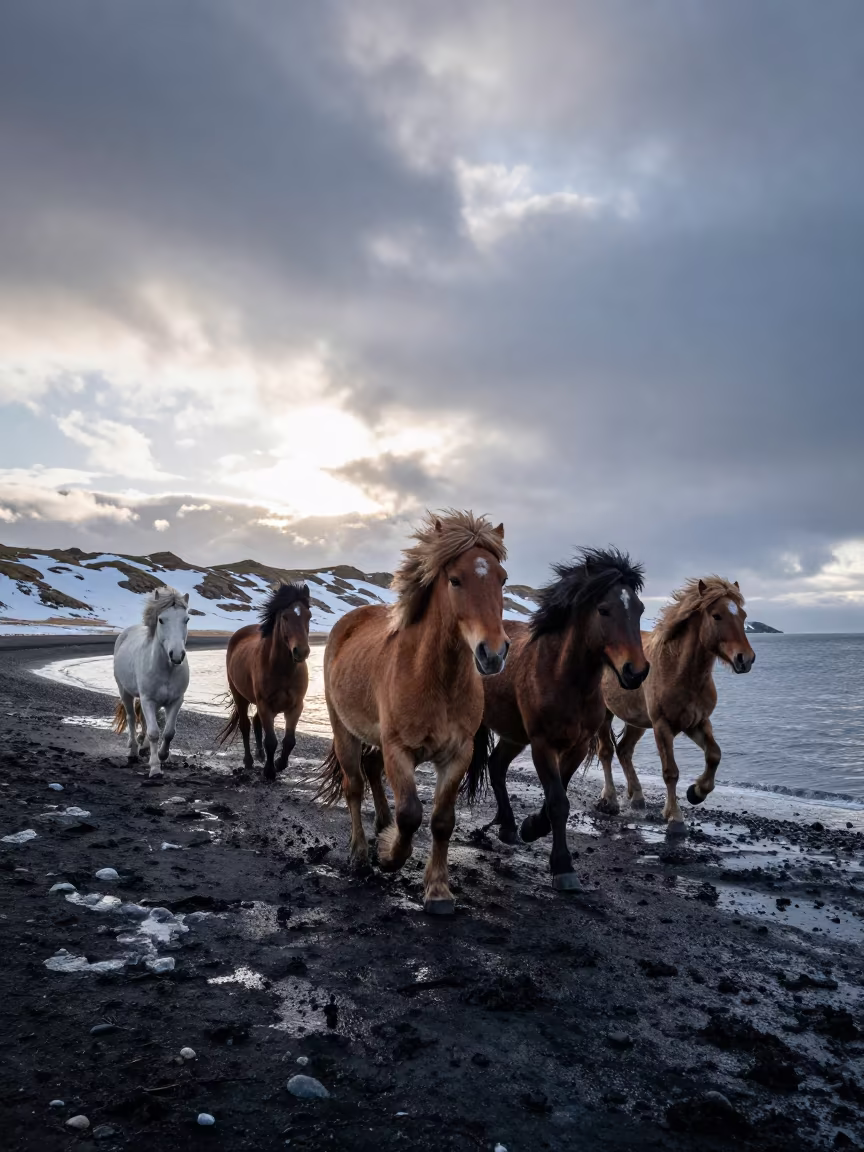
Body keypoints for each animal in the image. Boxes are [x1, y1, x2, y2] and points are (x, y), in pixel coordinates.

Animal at [112, 586, 190, 778]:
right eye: (161, 620)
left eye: (186, 619)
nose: (177, 655)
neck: (167, 669)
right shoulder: (147, 699)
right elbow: (155, 732)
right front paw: (155, 767)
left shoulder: (176, 701)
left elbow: (169, 732)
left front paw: (162, 755)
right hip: (124, 691)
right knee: (132, 718)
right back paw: (133, 751)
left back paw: (144, 746)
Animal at [218, 582, 311, 781]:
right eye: (285, 617)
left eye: (309, 616)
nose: (301, 651)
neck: (282, 670)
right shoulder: (265, 704)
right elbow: (271, 741)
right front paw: (269, 771)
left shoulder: (295, 706)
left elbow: (289, 740)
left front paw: (279, 763)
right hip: (240, 697)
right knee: (245, 725)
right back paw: (249, 761)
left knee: (255, 721)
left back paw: (260, 755)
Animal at [316, 509, 509, 916]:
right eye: (455, 579)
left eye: (502, 579)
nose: (494, 653)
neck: (437, 679)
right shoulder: (399, 751)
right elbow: (410, 814)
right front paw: (389, 856)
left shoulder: (458, 753)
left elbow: (441, 820)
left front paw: (438, 890)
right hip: (344, 732)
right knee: (354, 786)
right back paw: (361, 855)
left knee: (372, 773)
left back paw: (380, 826)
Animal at [464, 548, 649, 890]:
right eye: (604, 609)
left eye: (640, 609)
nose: (636, 671)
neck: (564, 677)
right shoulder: (543, 744)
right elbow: (558, 802)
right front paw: (563, 866)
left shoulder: (577, 745)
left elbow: (557, 796)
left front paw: (531, 827)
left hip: (513, 734)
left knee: (496, 766)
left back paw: (508, 827)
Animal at [596, 576, 755, 835]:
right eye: (717, 616)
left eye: (743, 616)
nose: (746, 659)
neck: (679, 670)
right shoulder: (663, 726)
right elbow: (670, 772)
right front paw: (675, 818)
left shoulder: (697, 722)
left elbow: (714, 755)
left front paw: (697, 792)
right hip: (605, 715)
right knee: (606, 752)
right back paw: (610, 800)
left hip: (637, 721)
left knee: (624, 750)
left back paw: (637, 797)